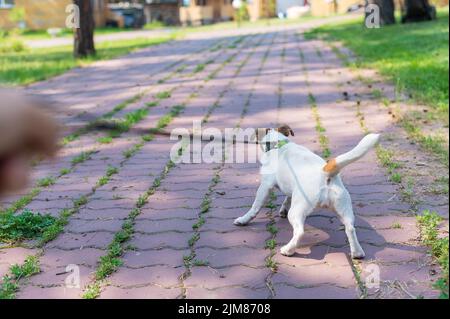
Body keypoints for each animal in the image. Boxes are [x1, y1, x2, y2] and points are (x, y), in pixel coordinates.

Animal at [236, 125, 380, 260]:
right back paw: (357, 252)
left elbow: (255, 207)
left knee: (300, 232)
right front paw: (283, 209)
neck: (279, 144)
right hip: (344, 208)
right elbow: (287, 198)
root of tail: (325, 174)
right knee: (350, 228)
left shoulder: (265, 186)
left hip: (297, 211)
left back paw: (288, 250)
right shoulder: (291, 189)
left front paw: (244, 219)